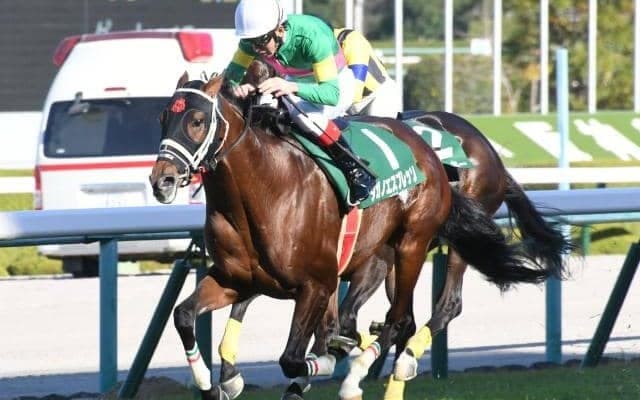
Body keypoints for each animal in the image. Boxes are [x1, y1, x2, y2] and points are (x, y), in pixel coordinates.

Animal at [149, 72, 566, 400]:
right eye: (163, 117)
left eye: (198, 120)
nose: (162, 180)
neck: (267, 188)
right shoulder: (236, 279)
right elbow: (184, 316)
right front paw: (216, 384)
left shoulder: (319, 283)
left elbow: (295, 357)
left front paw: (327, 361)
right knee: (403, 320)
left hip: (415, 243)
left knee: (422, 314)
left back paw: (376, 370)